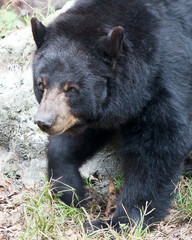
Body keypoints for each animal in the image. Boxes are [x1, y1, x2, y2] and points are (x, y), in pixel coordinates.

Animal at [30, 0, 192, 232]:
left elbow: (160, 145)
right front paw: (73, 191)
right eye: (41, 84)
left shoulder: (168, 75)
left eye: (72, 89)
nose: (44, 122)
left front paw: (119, 221)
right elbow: (77, 137)